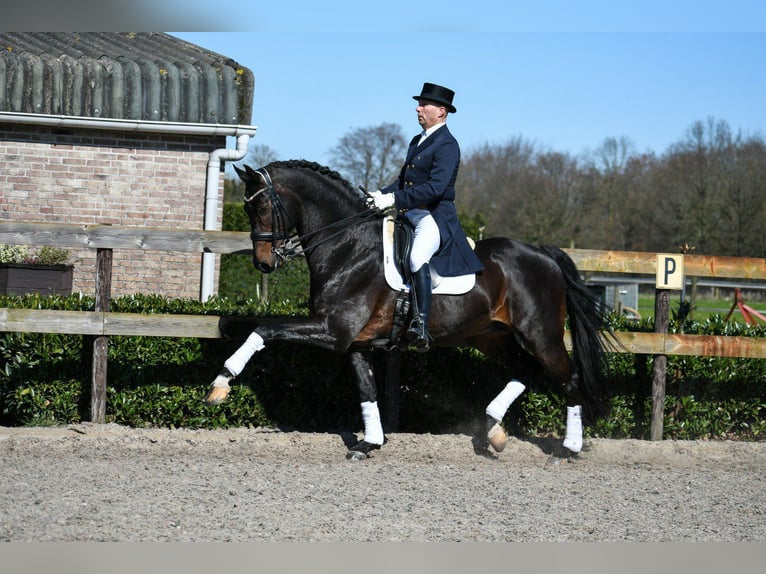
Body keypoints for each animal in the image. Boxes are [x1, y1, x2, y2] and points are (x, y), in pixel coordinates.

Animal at [204, 160, 612, 462]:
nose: (263, 263)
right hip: (489, 336)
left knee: (569, 378)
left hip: (541, 334)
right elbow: (367, 389)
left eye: (259, 206)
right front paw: (369, 443)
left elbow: (264, 330)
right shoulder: (356, 342)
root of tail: (543, 254)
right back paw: (494, 431)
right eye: (247, 207)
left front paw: (221, 383)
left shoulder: (334, 331)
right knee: (524, 370)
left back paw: (567, 449)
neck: (347, 246)